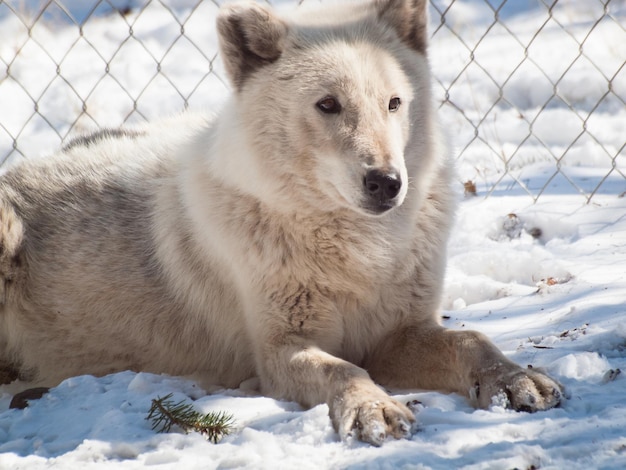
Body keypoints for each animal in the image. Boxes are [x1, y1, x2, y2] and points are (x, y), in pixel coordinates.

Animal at [0, 0, 560, 444]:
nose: (386, 182)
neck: (354, 249)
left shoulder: (399, 332)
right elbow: (343, 369)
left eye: (394, 104)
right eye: (328, 105)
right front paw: (373, 407)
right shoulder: (279, 350)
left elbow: (473, 339)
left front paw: (514, 379)